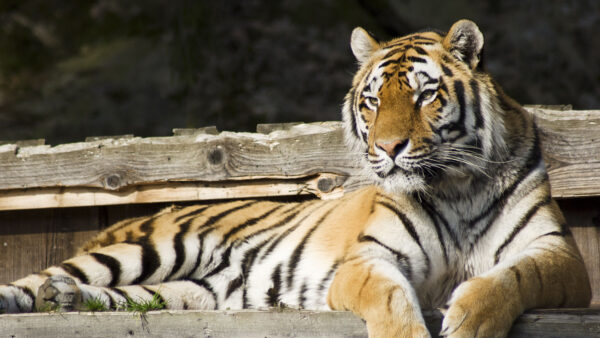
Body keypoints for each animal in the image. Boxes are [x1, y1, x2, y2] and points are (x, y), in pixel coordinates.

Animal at [0, 19, 592, 336]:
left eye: (425, 95)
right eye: (373, 101)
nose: (387, 149)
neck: (455, 187)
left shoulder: (559, 254)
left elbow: (512, 279)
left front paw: (469, 318)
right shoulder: (367, 261)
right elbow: (392, 300)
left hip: (193, 294)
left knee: (136, 298)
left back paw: (65, 301)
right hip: (150, 247)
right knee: (36, 280)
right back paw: (45, 295)